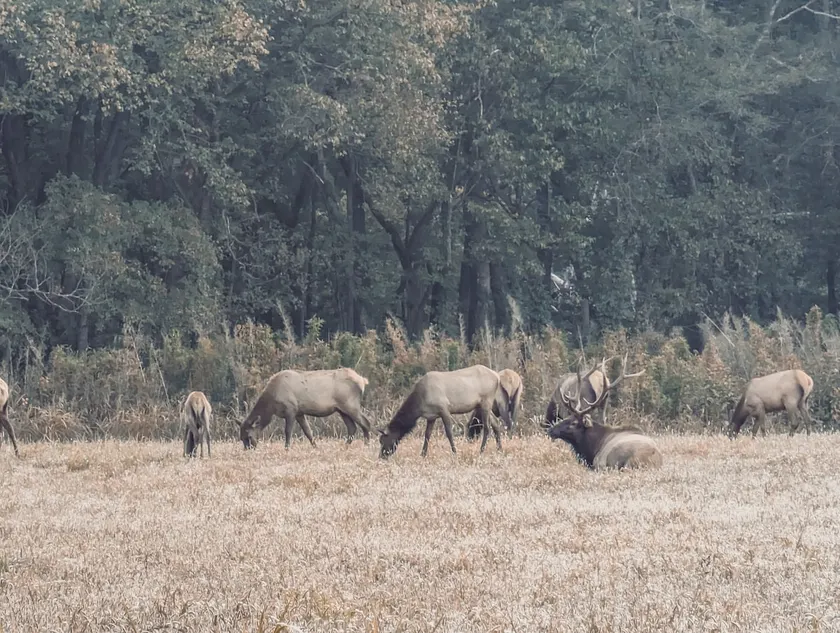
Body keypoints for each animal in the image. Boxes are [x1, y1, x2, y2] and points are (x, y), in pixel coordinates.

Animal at [237, 368, 372, 450]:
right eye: (241, 437)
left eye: (249, 436)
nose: (248, 450)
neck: (271, 406)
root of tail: (363, 381)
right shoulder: (299, 413)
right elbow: (308, 431)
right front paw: (315, 447)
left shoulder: (291, 409)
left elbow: (288, 431)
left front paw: (287, 448)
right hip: (342, 409)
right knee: (352, 427)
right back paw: (345, 446)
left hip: (350, 404)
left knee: (366, 422)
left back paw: (367, 445)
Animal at [378, 364, 512, 459]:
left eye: (383, 440)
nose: (381, 456)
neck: (419, 403)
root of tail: (497, 377)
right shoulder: (431, 416)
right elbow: (427, 434)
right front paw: (423, 454)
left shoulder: (444, 409)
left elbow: (449, 432)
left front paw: (455, 452)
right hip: (482, 405)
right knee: (496, 424)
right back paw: (499, 449)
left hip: (486, 401)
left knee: (487, 427)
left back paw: (481, 450)